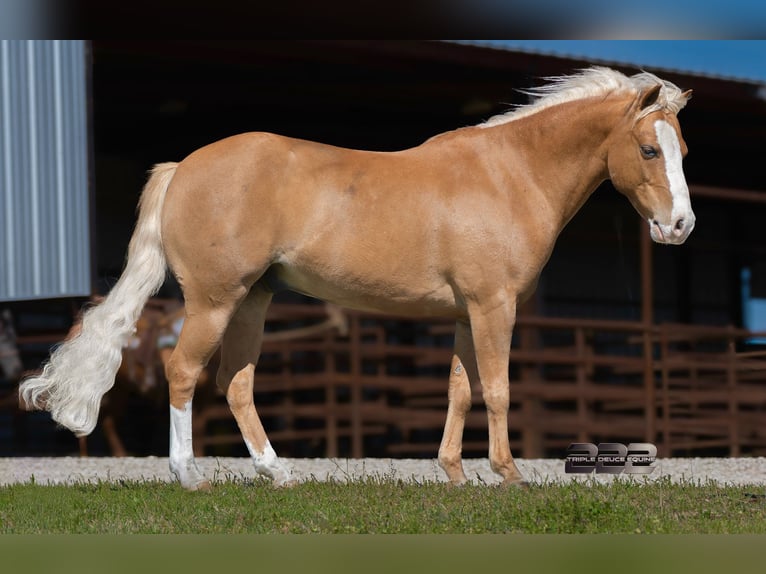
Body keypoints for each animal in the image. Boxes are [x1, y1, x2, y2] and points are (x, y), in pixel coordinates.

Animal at [20, 67, 694, 490]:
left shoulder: (464, 313)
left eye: (682, 150)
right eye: (649, 150)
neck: (511, 174)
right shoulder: (493, 306)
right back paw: (189, 477)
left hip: (252, 301)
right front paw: (509, 475)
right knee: (184, 372)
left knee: (236, 383)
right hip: (213, 301)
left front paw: (454, 475)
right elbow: (498, 390)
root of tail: (182, 166)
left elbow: (460, 389)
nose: (680, 226)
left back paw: (278, 474)